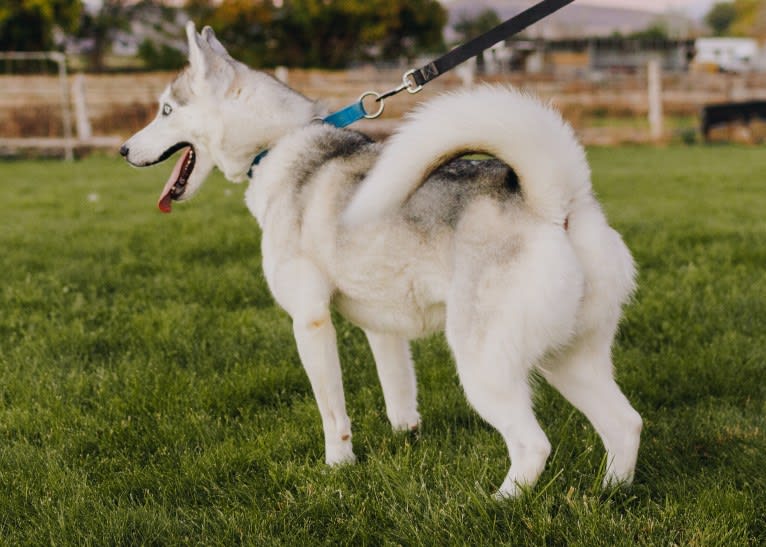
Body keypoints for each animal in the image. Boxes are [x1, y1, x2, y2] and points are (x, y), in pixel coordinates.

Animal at [121, 23, 648, 498]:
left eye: (166, 109)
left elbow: (332, 413)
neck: (279, 143)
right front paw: (406, 438)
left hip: (483, 365)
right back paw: (608, 494)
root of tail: (553, 202)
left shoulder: (310, 321)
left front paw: (338, 467)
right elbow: (399, 393)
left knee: (533, 444)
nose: (123, 149)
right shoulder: (383, 328)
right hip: (569, 358)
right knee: (626, 423)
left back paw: (498, 503)